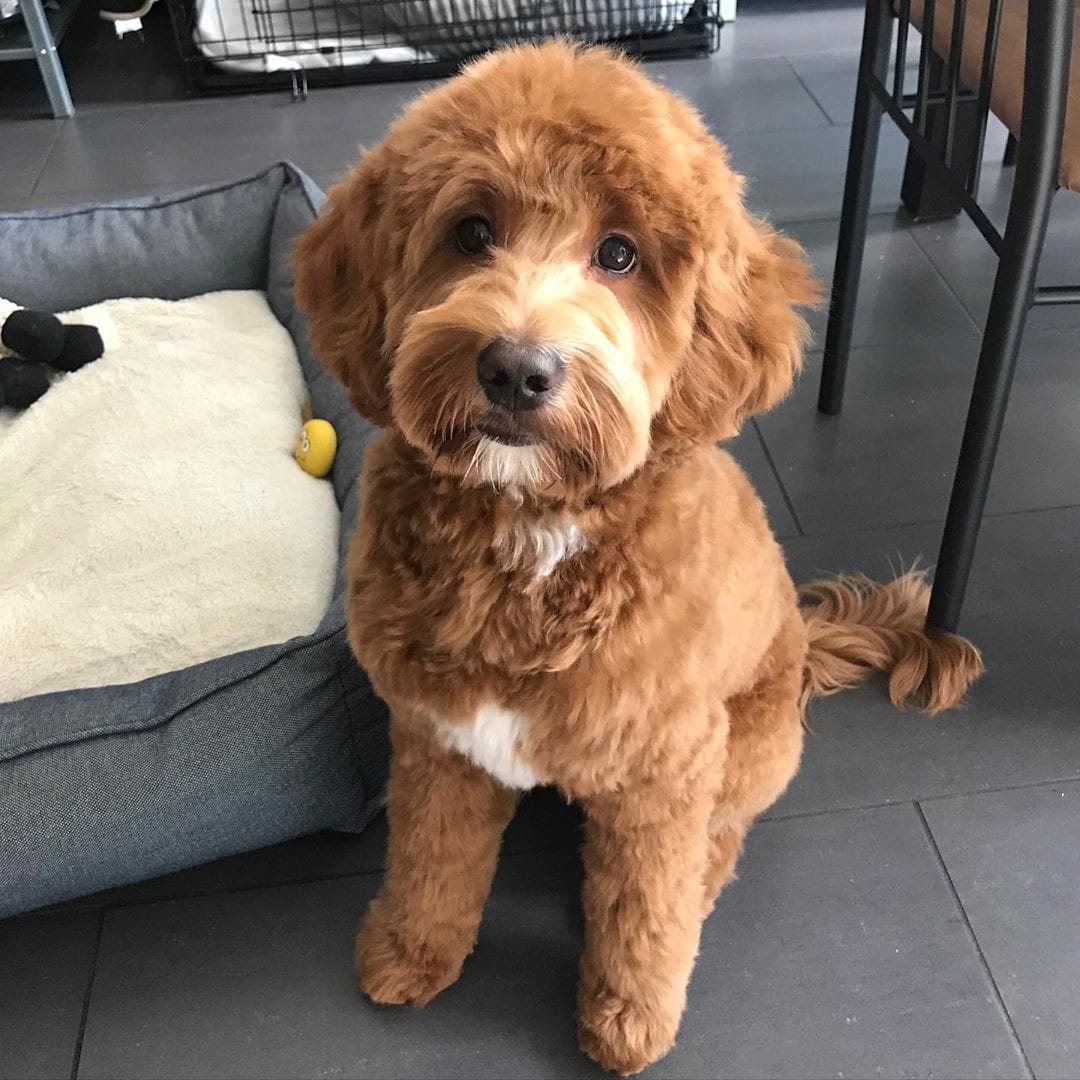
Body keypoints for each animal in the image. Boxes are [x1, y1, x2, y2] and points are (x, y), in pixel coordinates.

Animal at [293, 39, 980, 1071]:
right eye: (470, 232)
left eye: (619, 254)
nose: (516, 369)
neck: (531, 535)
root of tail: (808, 644)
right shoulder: (437, 738)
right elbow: (430, 855)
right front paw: (411, 953)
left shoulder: (664, 770)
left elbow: (643, 908)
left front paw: (628, 1020)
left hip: (750, 749)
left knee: (721, 838)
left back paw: (704, 884)